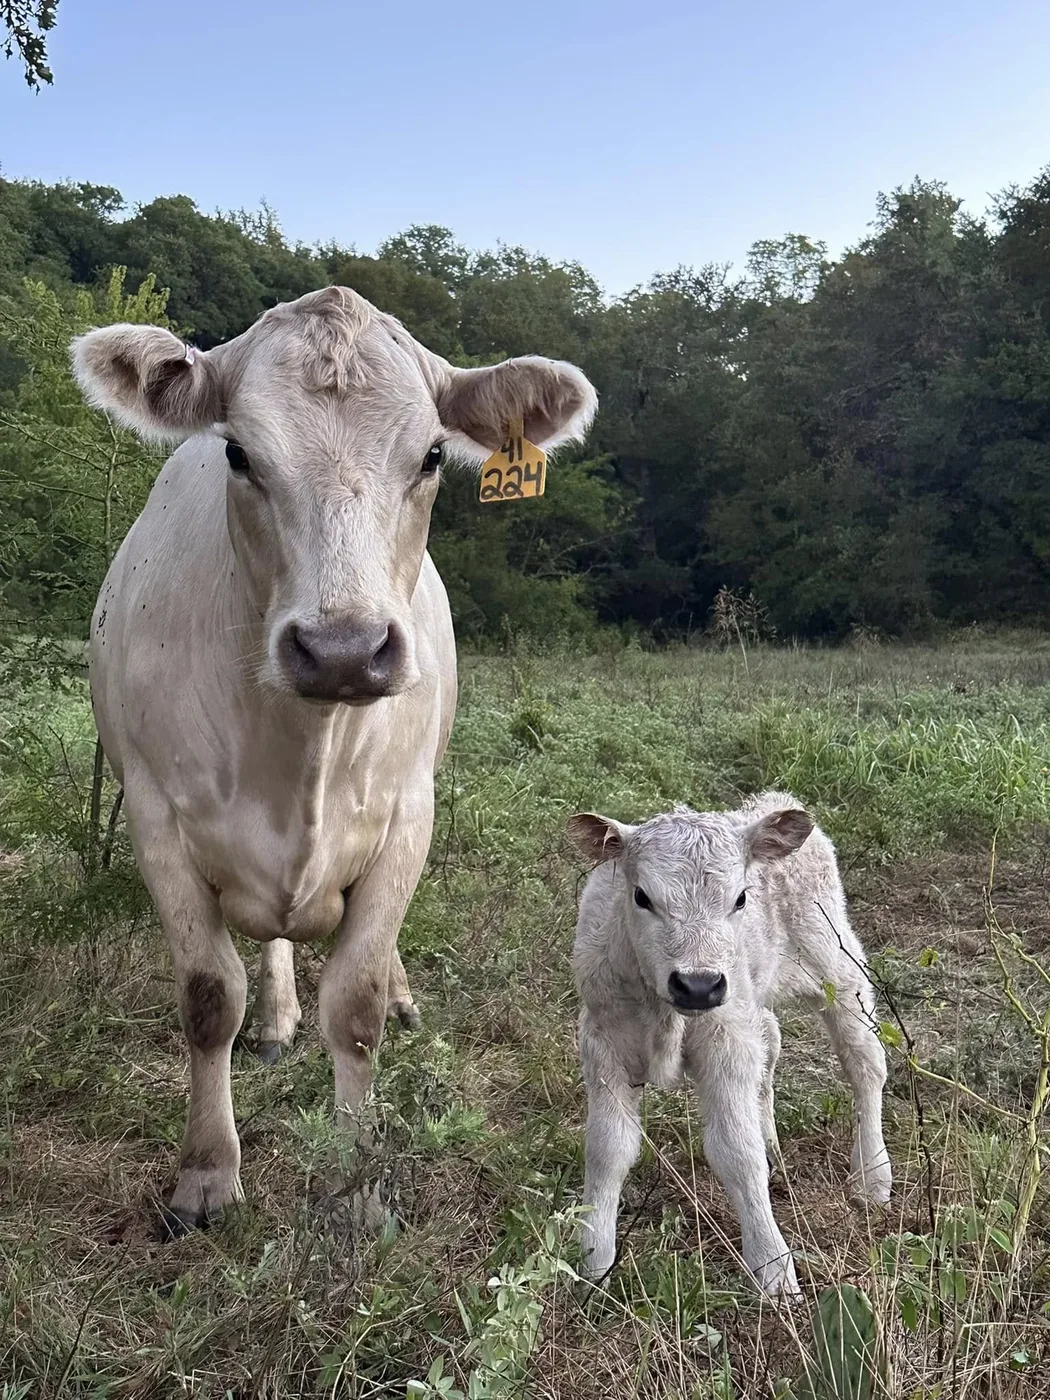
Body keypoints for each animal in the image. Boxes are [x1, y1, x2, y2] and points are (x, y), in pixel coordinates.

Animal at [72, 286, 597, 1232]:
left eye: (432, 454)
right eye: (238, 452)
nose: (344, 650)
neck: (300, 750)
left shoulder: (408, 817)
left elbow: (354, 1006)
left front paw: (355, 1186)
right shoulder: (156, 820)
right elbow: (209, 999)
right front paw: (206, 1175)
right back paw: (277, 1019)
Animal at [568, 792, 891, 1298]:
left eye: (741, 897)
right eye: (641, 896)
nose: (698, 985)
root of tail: (774, 802)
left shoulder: (727, 1041)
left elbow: (737, 1153)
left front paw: (773, 1269)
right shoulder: (603, 1043)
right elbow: (608, 1148)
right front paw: (593, 1260)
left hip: (836, 964)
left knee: (866, 1063)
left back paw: (872, 1177)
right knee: (772, 1042)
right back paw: (773, 1141)